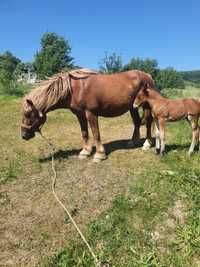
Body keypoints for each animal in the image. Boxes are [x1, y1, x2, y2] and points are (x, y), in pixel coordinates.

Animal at [20, 68, 155, 162]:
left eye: (29, 114)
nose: (23, 135)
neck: (75, 89)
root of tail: (148, 76)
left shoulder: (91, 113)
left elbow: (96, 133)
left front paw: (99, 155)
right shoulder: (79, 115)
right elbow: (84, 133)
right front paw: (85, 152)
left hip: (145, 107)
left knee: (148, 123)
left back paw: (147, 144)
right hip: (133, 107)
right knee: (137, 122)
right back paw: (133, 142)